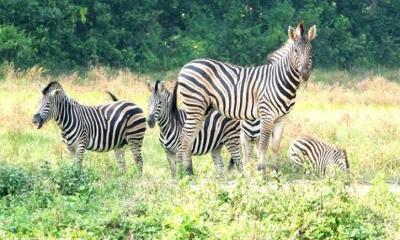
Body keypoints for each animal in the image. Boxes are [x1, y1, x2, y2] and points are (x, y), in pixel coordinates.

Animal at [170, 21, 318, 175]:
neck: (279, 79)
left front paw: (276, 172)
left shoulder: (281, 119)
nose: (304, 74)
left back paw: (188, 172)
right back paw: (184, 173)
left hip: (202, 110)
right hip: (195, 106)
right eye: (295, 51)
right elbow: (263, 145)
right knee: (184, 138)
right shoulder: (267, 115)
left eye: (311, 51)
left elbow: (275, 146)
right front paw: (261, 171)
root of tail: (185, 67)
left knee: (189, 138)